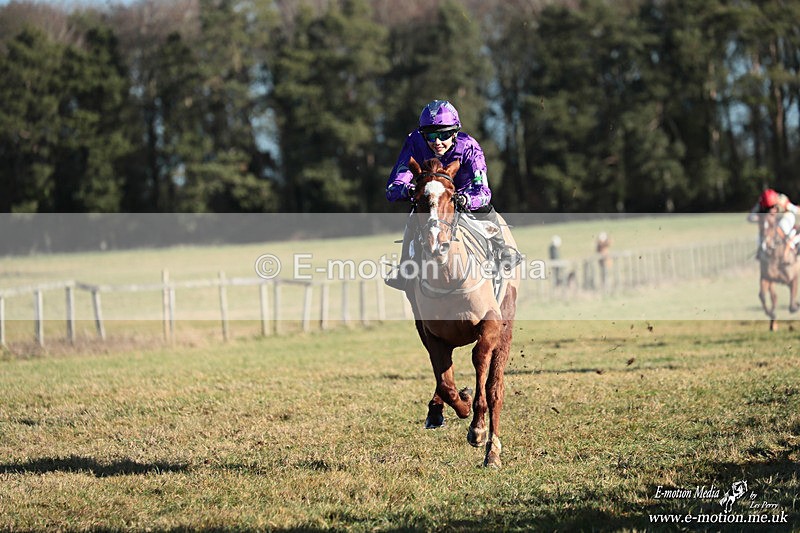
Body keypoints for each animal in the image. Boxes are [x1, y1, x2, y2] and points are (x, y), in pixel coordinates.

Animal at [403, 156, 520, 468]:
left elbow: (480, 363)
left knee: (495, 387)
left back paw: (492, 451)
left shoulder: (490, 324)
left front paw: (477, 428)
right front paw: (460, 404)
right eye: (418, 199)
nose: (436, 243)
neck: (448, 277)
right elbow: (445, 382)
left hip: (506, 327)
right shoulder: (432, 334)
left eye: (452, 196)